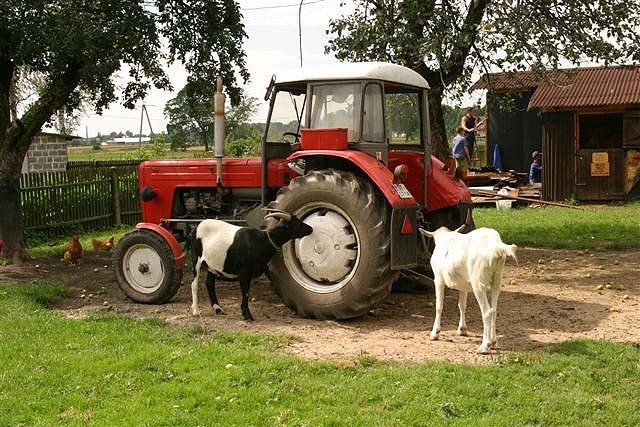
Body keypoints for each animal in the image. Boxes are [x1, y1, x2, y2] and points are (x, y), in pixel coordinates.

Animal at [186, 211, 314, 320]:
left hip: (212, 264)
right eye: (295, 223)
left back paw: (218, 309)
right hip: (196, 257)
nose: (310, 229)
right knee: (194, 284)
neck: (262, 241)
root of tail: (195, 228)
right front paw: (247, 315)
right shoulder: (244, 271)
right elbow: (245, 292)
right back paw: (196, 311)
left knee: (209, 284)